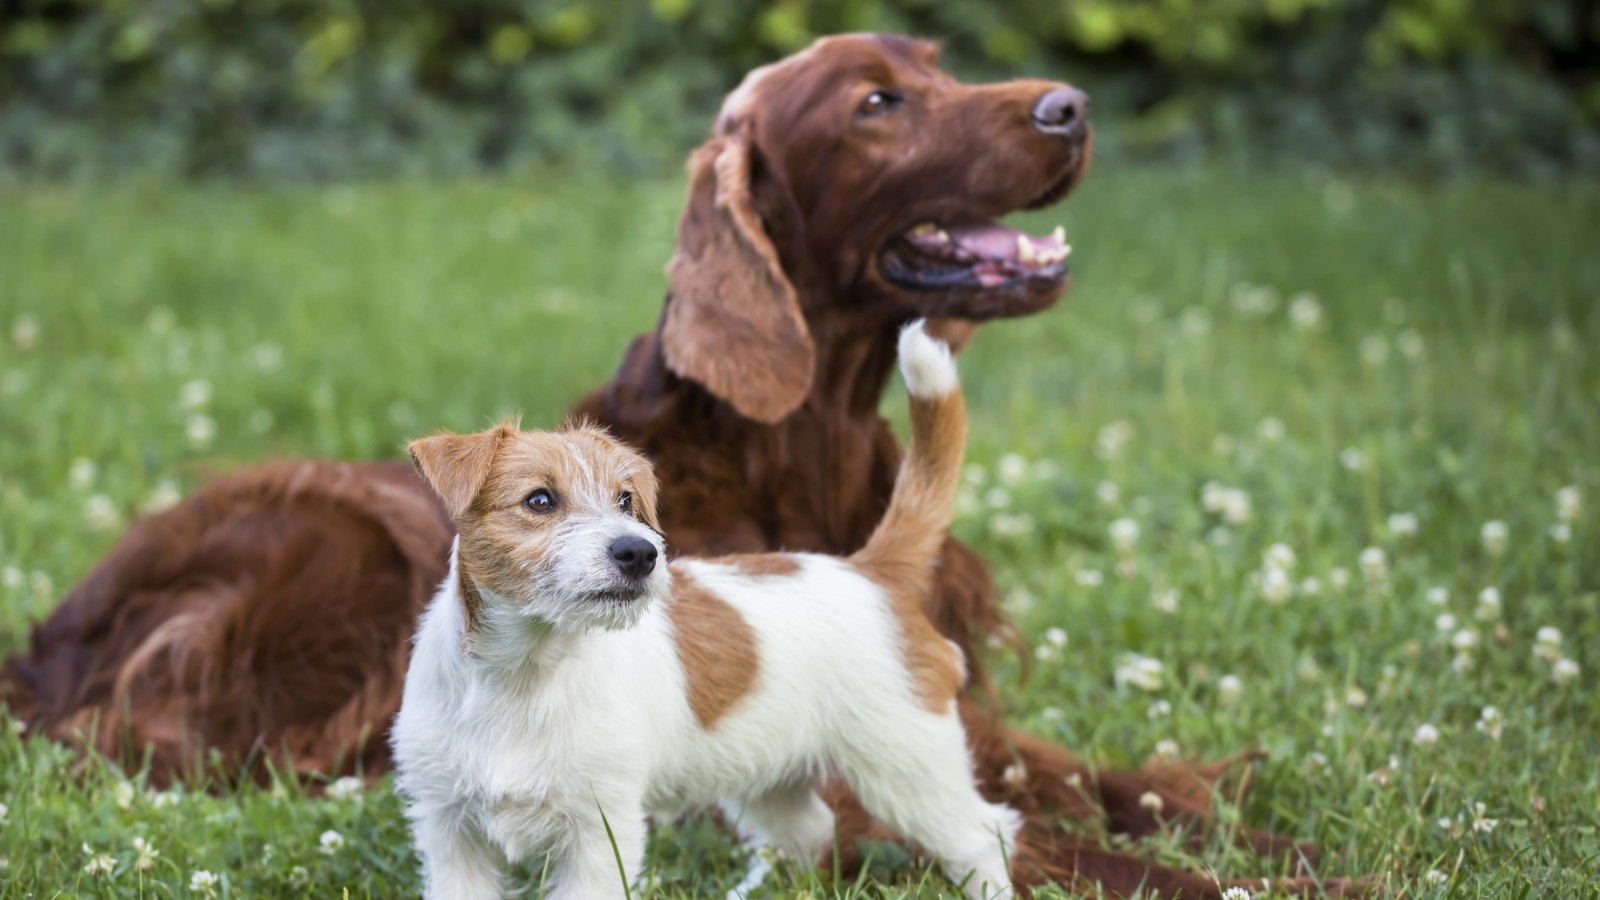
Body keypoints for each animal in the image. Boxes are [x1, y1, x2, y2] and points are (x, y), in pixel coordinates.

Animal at [393, 321, 1017, 896]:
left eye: (626, 500)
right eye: (539, 501)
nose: (639, 552)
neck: (526, 671)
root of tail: (869, 568)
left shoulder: (599, 831)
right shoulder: (449, 829)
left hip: (907, 762)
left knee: (983, 834)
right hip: (772, 771)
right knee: (808, 829)